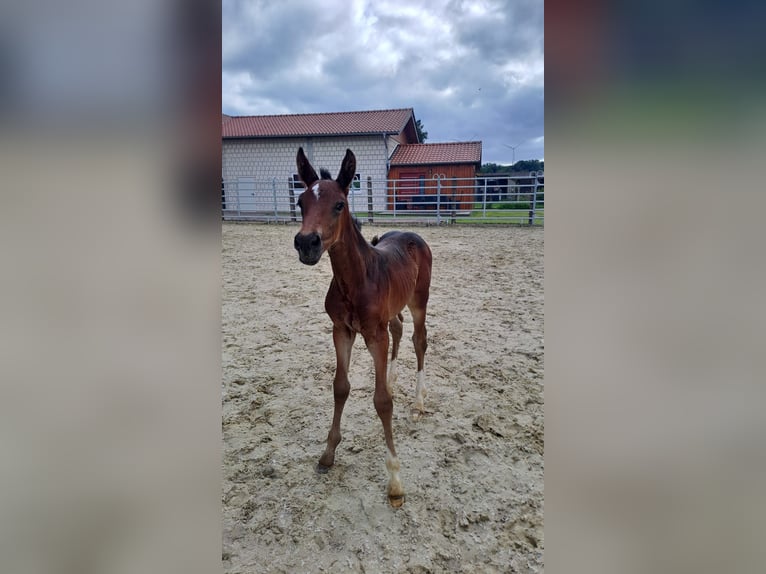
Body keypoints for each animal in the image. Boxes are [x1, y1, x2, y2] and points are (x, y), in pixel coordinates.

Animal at [292, 148, 432, 508]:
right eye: (300, 202)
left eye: (339, 204)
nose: (307, 243)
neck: (355, 280)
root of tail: (413, 235)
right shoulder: (341, 330)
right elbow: (341, 387)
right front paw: (328, 454)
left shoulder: (374, 334)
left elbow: (382, 402)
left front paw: (395, 482)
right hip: (393, 311)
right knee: (399, 329)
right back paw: (394, 379)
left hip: (419, 301)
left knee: (419, 339)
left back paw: (418, 403)